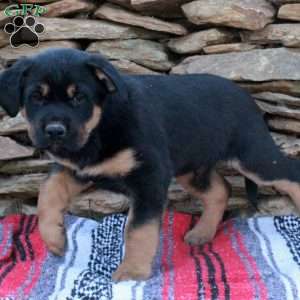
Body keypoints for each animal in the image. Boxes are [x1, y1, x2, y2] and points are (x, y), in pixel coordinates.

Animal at [0, 48, 300, 282]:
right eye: (36, 97)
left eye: (79, 97)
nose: (54, 131)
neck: (101, 126)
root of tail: (248, 97)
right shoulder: (77, 167)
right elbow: (47, 192)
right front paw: (54, 237)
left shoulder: (149, 177)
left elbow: (139, 230)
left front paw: (132, 273)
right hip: (192, 168)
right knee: (220, 190)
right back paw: (201, 233)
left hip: (255, 158)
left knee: (290, 174)